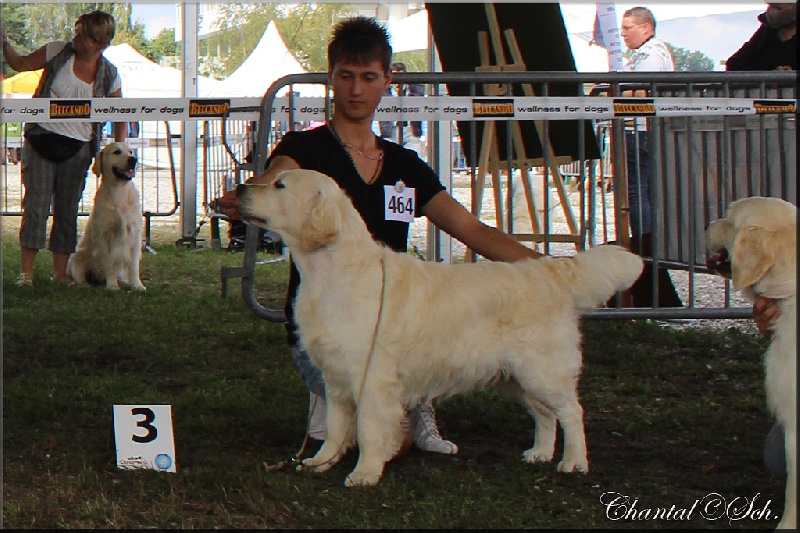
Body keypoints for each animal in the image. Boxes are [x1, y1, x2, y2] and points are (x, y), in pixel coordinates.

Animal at [67, 142, 145, 291]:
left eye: (131, 152)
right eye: (116, 152)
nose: (133, 160)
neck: (119, 191)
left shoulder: (135, 234)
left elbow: (134, 266)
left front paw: (137, 285)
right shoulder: (105, 235)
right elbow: (110, 262)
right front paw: (112, 285)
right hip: (76, 257)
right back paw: (85, 284)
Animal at [238, 169, 643, 487]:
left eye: (279, 184)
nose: (240, 187)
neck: (330, 273)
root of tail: (551, 270)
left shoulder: (373, 377)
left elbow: (368, 428)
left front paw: (364, 473)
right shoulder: (335, 378)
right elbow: (336, 429)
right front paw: (321, 462)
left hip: (541, 371)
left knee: (572, 412)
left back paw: (573, 462)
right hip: (514, 377)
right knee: (545, 414)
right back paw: (540, 453)